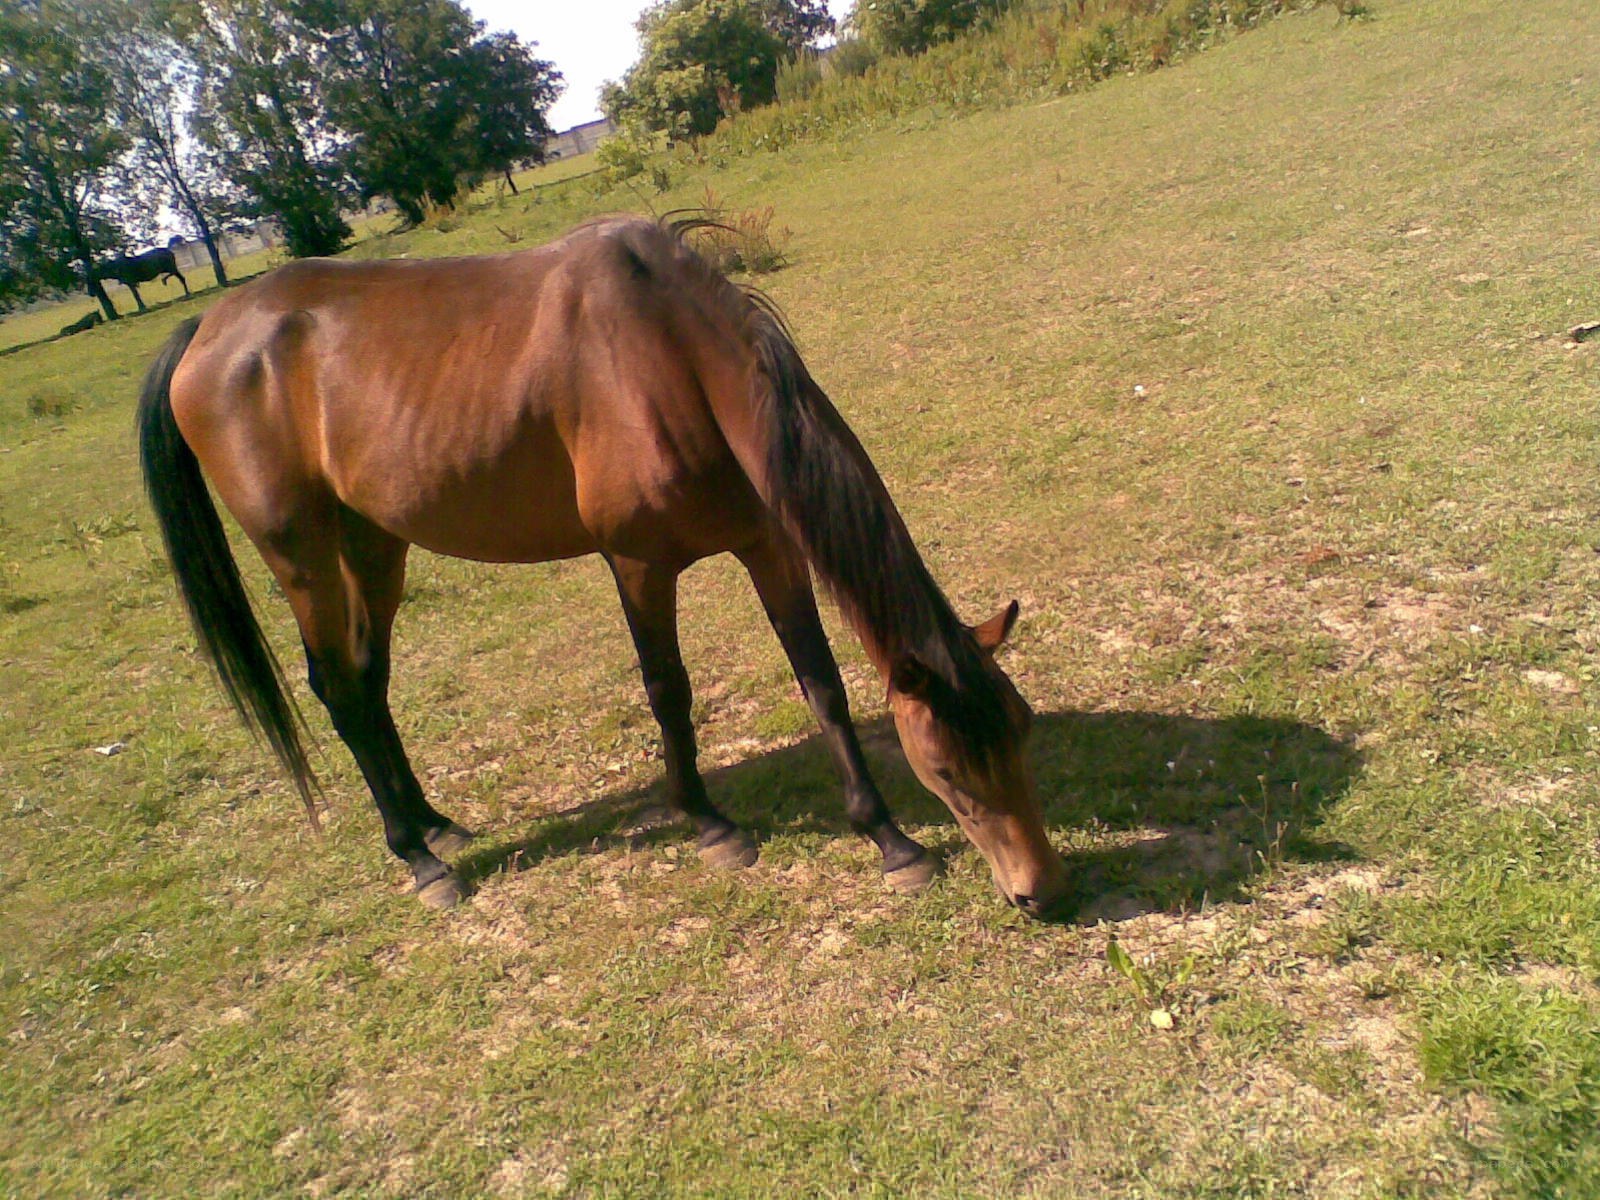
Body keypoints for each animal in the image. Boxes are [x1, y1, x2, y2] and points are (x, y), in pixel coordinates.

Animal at [136, 216, 1070, 917]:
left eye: (1021, 730)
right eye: (946, 769)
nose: (1041, 890)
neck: (671, 357)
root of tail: (208, 329)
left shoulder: (769, 546)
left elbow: (822, 685)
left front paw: (889, 840)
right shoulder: (638, 563)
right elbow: (669, 689)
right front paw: (708, 824)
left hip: (375, 542)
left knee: (368, 682)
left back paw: (436, 825)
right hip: (301, 558)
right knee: (336, 689)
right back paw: (418, 861)